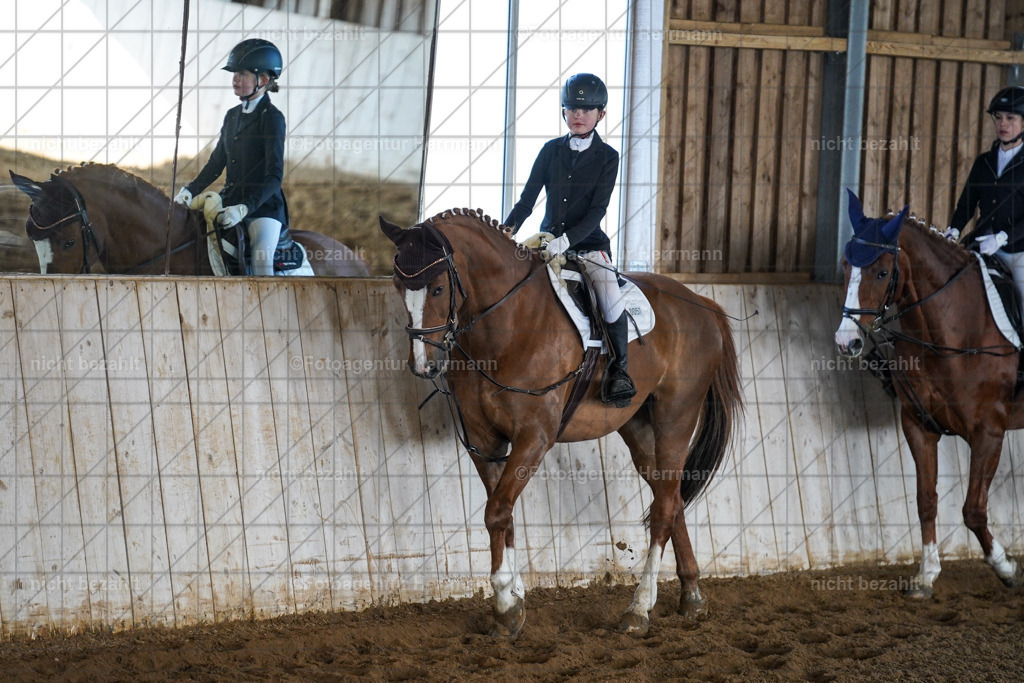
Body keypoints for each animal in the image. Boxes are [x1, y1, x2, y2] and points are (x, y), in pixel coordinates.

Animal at [379, 208, 742, 637]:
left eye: (436, 289)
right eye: (398, 285)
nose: (425, 366)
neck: (505, 326)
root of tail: (701, 303)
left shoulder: (534, 437)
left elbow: (496, 512)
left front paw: (505, 606)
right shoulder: (486, 443)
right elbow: (503, 515)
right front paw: (515, 597)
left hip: (676, 415)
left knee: (665, 509)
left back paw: (639, 609)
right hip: (637, 425)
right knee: (669, 496)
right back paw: (692, 595)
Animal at [834, 190, 1024, 598]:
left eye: (882, 272)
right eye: (845, 266)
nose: (847, 342)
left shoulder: (989, 432)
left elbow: (973, 510)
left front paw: (1007, 568)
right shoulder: (919, 425)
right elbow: (925, 500)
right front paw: (926, 575)